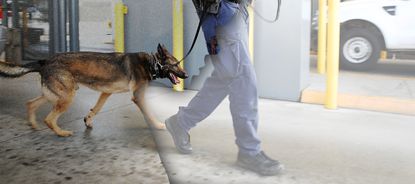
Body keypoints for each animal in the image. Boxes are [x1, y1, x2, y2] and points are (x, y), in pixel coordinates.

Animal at [0, 43, 188, 136]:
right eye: (175, 64)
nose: (185, 75)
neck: (151, 62)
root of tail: (44, 60)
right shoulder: (138, 97)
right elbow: (149, 113)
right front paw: (158, 125)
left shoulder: (106, 92)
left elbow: (96, 109)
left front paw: (88, 120)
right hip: (67, 96)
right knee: (49, 118)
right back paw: (62, 133)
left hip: (54, 95)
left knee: (31, 103)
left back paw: (33, 124)